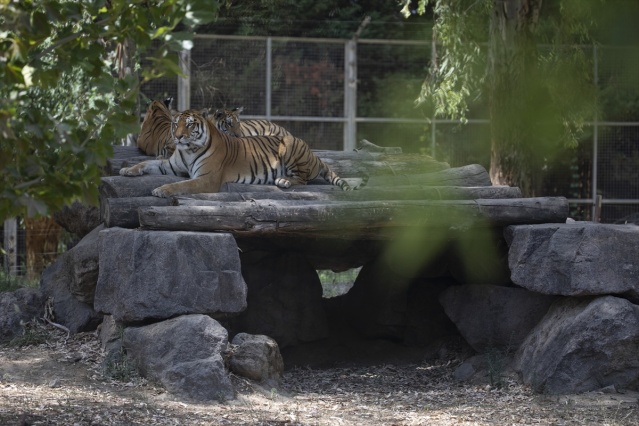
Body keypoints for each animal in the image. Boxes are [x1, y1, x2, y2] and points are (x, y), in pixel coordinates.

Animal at [119, 108, 360, 198]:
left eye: (189, 125)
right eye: (175, 124)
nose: (177, 137)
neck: (187, 151)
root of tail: (313, 154)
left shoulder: (207, 179)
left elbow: (182, 185)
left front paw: (162, 189)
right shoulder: (169, 165)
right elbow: (146, 164)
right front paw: (127, 170)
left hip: (290, 145)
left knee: (302, 179)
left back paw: (283, 180)